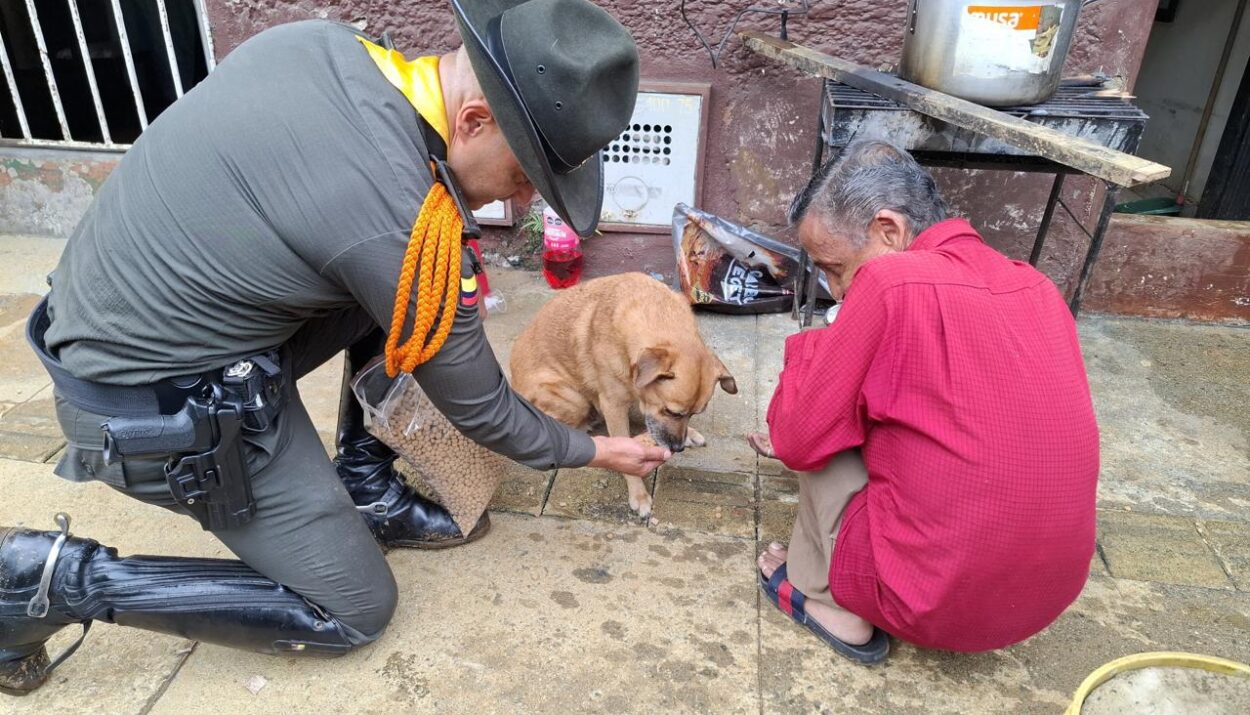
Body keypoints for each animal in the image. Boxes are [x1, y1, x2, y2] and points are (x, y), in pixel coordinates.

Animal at [512, 272, 735, 515]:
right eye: (671, 411)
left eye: (693, 414)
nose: (678, 448)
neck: (654, 309)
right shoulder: (613, 405)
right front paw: (638, 493)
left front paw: (689, 432)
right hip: (573, 400)